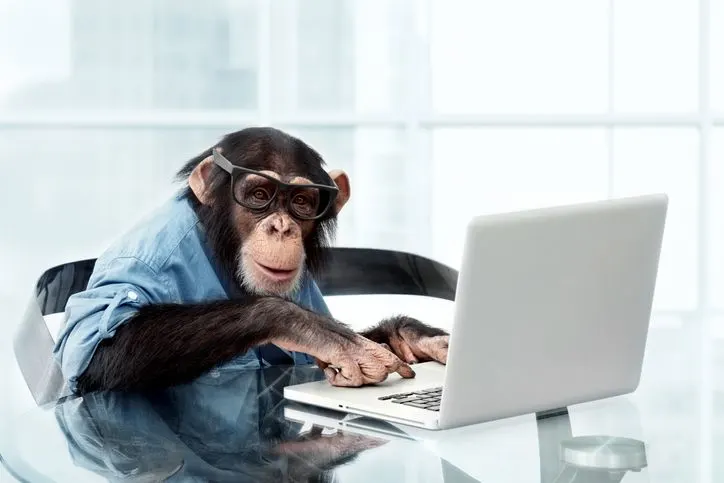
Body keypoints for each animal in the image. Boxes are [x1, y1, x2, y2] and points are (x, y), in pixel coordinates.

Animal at [52, 126, 446, 396]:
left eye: (302, 202)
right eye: (259, 195)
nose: (281, 226)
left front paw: (411, 336)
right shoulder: (148, 256)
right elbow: (98, 349)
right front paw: (314, 330)